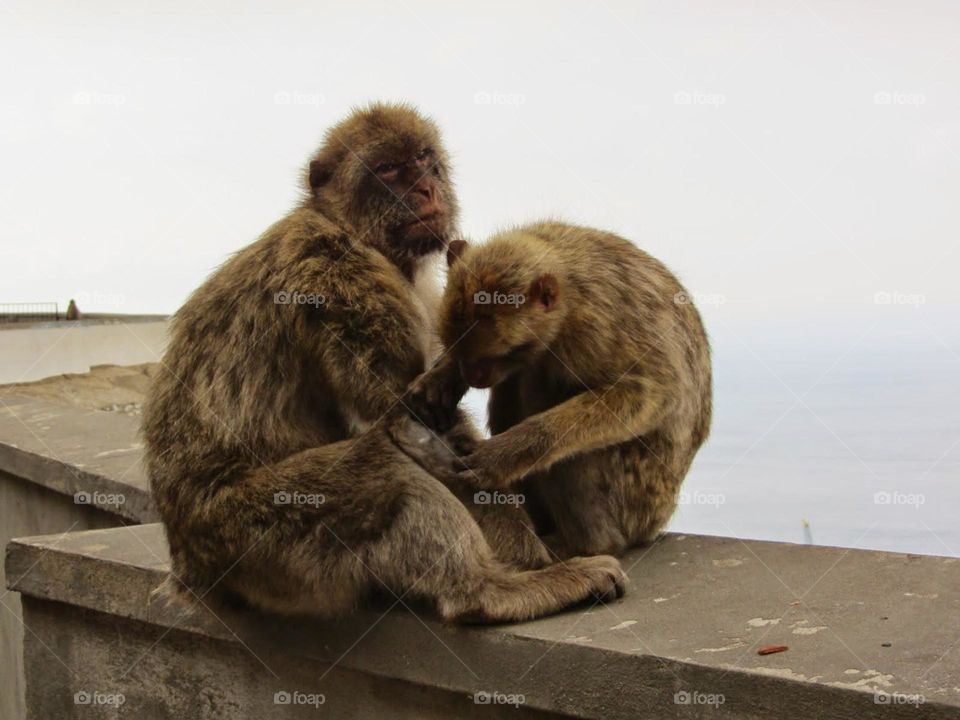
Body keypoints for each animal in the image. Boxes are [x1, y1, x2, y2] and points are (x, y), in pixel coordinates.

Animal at [141, 105, 626, 624]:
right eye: (389, 169)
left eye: (424, 158)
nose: (426, 189)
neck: (361, 236)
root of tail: (188, 563)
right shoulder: (339, 276)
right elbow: (412, 418)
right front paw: (534, 557)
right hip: (250, 533)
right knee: (385, 467)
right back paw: (488, 591)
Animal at [407, 221, 712, 558]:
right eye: (461, 352)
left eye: (497, 355)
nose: (471, 376)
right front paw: (440, 380)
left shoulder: (594, 327)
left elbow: (655, 393)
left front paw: (506, 453)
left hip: (636, 497)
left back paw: (589, 544)